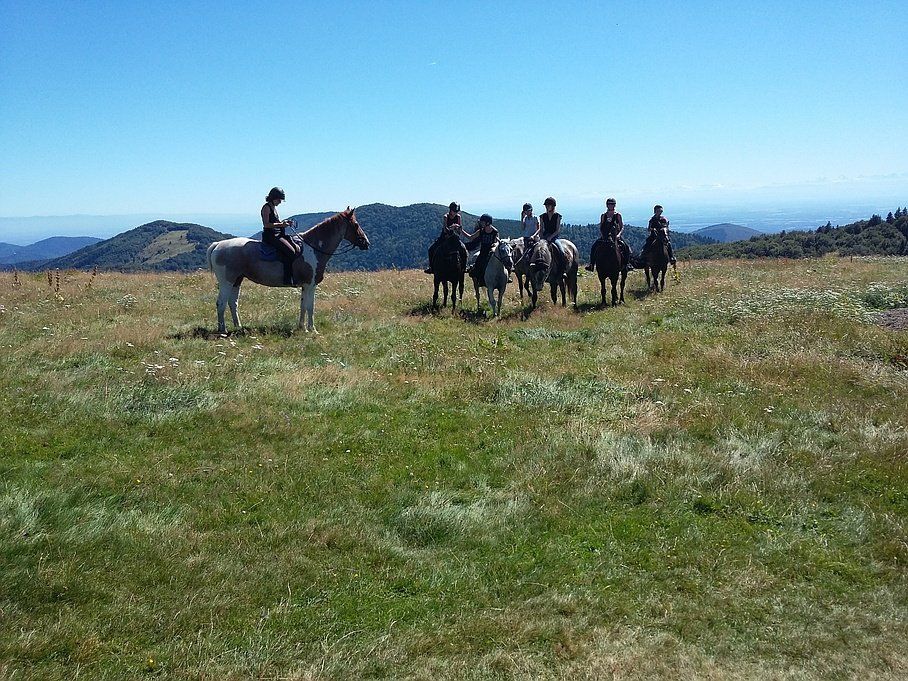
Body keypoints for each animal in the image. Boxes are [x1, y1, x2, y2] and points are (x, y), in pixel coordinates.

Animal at [206, 207, 369, 334]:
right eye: (355, 224)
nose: (366, 243)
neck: (313, 248)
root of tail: (217, 245)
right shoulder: (311, 285)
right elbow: (310, 306)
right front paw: (312, 329)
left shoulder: (305, 286)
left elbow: (303, 306)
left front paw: (302, 328)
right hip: (227, 282)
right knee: (221, 303)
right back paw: (223, 330)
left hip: (237, 281)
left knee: (232, 303)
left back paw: (238, 326)